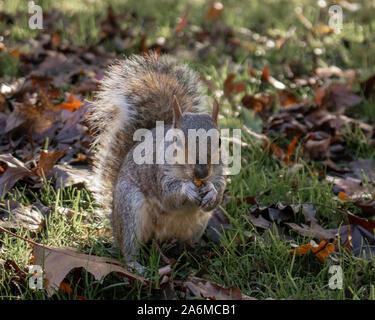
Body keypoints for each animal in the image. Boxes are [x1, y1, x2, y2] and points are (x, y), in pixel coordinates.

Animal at [90, 53, 226, 260]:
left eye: (219, 141)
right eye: (177, 140)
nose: (201, 172)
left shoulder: (219, 173)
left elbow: (218, 192)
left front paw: (211, 190)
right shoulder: (158, 173)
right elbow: (168, 195)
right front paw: (186, 189)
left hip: (196, 225)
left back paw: (187, 253)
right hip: (130, 207)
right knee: (128, 246)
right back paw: (135, 263)